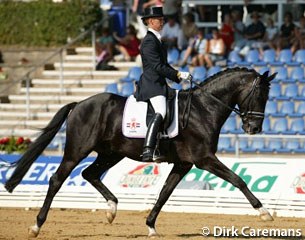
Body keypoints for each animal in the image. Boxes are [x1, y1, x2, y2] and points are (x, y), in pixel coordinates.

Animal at [4, 67, 276, 236]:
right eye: (260, 95)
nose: (254, 128)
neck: (203, 109)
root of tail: (79, 103)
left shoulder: (183, 164)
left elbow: (165, 193)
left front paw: (151, 227)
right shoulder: (204, 159)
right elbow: (237, 179)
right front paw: (264, 213)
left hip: (111, 154)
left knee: (89, 174)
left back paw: (112, 210)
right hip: (77, 150)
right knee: (57, 179)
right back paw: (37, 226)